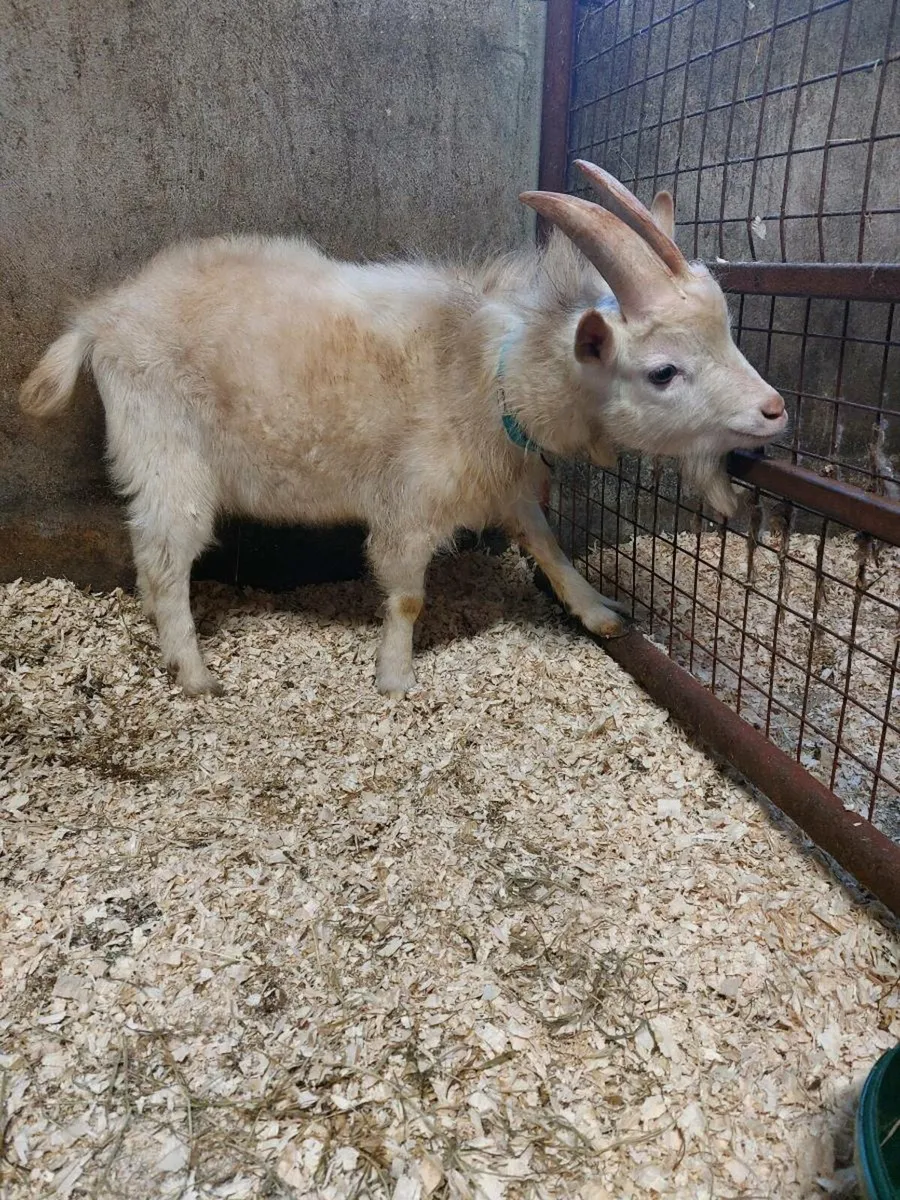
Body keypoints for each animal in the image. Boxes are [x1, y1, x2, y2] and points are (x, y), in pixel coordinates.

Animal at [20, 163, 787, 697]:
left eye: (726, 330)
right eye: (663, 371)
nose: (774, 410)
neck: (492, 372)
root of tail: (101, 320)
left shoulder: (504, 483)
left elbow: (547, 544)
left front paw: (600, 613)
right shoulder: (412, 502)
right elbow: (409, 591)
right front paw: (395, 678)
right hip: (166, 455)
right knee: (162, 561)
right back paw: (195, 674)